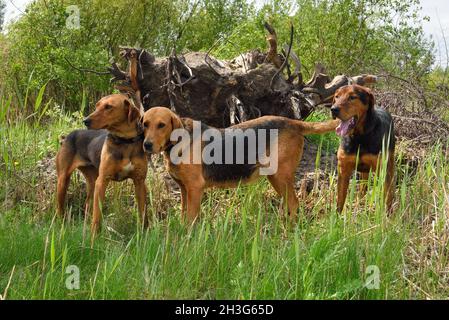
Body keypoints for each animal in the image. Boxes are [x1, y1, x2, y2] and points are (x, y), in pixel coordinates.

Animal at [55, 92, 148, 235]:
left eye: (108, 107)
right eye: (97, 105)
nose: (85, 121)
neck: (125, 141)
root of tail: (68, 135)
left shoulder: (139, 182)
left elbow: (143, 212)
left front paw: (144, 233)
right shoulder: (103, 180)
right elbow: (97, 214)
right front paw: (94, 235)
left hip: (92, 181)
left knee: (87, 204)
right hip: (63, 180)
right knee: (60, 207)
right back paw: (61, 224)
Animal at [142, 107, 338, 222]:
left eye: (161, 125)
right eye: (145, 124)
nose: (147, 145)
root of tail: (293, 123)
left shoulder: (195, 188)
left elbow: (191, 219)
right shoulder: (184, 189)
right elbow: (184, 217)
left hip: (280, 176)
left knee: (294, 204)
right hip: (277, 179)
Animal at [328, 84, 396, 212]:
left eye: (352, 97)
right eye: (337, 96)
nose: (333, 109)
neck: (359, 137)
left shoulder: (382, 169)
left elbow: (386, 196)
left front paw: (385, 215)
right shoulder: (343, 169)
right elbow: (340, 199)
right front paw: (336, 216)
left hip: (390, 165)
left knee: (389, 189)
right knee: (363, 187)